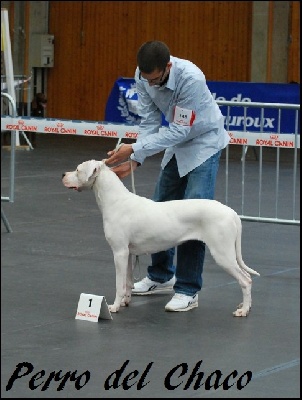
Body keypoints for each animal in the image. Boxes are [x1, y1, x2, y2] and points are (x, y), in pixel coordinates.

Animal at [62, 159, 260, 316]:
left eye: (78, 170)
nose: (63, 174)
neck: (115, 201)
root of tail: (232, 213)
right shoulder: (128, 254)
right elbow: (127, 281)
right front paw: (126, 301)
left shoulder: (118, 253)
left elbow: (119, 284)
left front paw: (114, 307)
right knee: (246, 279)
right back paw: (245, 306)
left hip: (222, 254)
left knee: (245, 280)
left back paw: (243, 310)